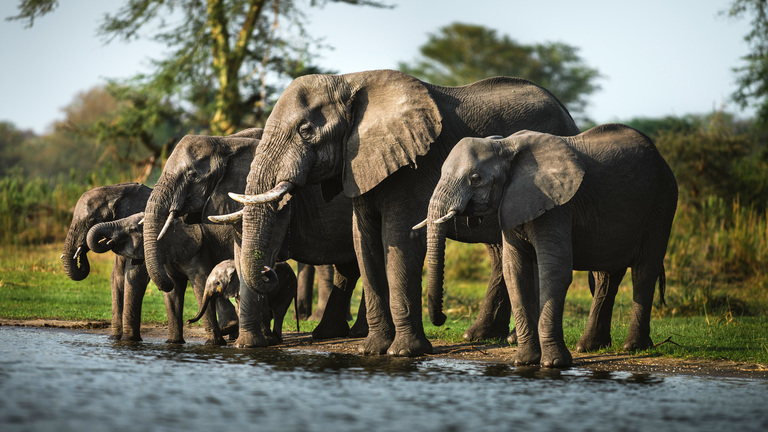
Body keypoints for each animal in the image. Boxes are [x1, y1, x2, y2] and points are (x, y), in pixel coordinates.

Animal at [62, 183, 152, 341]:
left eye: (91, 221)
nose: (81, 250)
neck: (115, 191)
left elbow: (135, 275)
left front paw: (130, 340)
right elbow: (117, 276)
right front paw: (114, 338)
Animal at [87, 212, 242, 345]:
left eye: (133, 229)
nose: (107, 241)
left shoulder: (199, 250)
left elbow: (200, 285)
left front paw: (213, 344)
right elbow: (173, 293)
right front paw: (174, 343)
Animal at [139, 129, 365, 346]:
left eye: (193, 175)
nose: (167, 283)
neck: (226, 143)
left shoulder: (279, 203)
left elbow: (263, 252)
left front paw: (257, 342)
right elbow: (241, 257)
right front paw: (254, 341)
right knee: (349, 269)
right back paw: (328, 333)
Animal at [229, 69, 581, 356]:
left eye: (305, 131)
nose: (270, 271)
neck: (349, 80)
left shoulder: (413, 165)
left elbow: (398, 239)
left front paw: (404, 352)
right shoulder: (361, 165)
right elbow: (364, 241)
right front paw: (372, 349)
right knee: (499, 253)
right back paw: (482, 336)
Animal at [419, 124, 678, 367]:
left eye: (475, 179)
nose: (442, 318)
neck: (505, 145)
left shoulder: (557, 205)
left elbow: (553, 272)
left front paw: (554, 363)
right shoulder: (512, 203)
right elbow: (515, 272)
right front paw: (524, 361)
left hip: (662, 203)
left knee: (644, 271)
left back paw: (633, 347)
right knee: (606, 275)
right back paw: (590, 346)